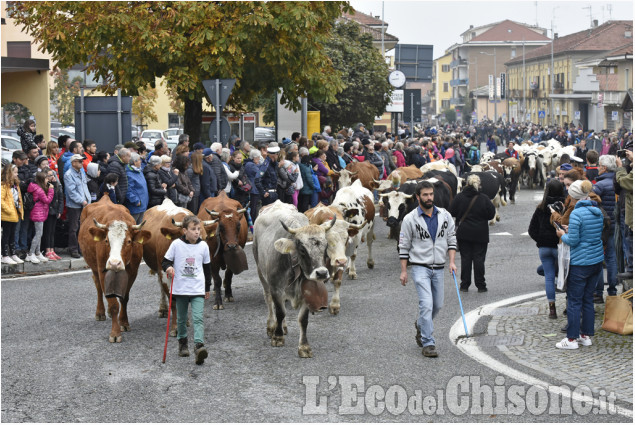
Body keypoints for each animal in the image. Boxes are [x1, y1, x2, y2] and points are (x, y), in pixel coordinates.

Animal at [77, 195, 150, 342]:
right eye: (106, 241)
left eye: (128, 241)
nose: (114, 263)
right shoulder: (102, 270)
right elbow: (113, 304)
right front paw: (115, 333)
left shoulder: (132, 272)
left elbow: (124, 298)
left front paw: (124, 323)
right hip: (94, 267)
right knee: (98, 286)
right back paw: (100, 313)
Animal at [141, 198, 216, 334]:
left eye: (205, 238)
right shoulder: (165, 274)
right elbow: (175, 302)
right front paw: (175, 327)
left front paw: (185, 321)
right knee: (160, 286)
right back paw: (163, 309)